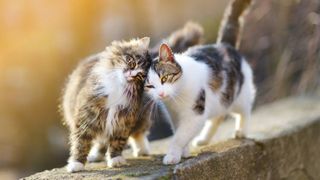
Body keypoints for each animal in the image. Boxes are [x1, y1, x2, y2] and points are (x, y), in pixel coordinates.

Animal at [63, 37, 153, 172]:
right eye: (131, 62)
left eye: (140, 76)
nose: (131, 74)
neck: (118, 87)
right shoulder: (87, 117)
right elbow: (81, 143)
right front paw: (76, 164)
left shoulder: (123, 120)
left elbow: (117, 142)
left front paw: (115, 160)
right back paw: (95, 156)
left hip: (142, 116)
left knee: (138, 133)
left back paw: (142, 150)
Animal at [145, 0, 255, 165]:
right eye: (150, 86)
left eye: (164, 78)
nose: (161, 94)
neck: (176, 99)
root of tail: (224, 45)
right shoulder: (174, 116)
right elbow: (179, 133)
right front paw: (183, 152)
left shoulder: (195, 114)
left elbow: (180, 136)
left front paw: (172, 155)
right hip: (219, 100)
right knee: (218, 116)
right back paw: (203, 139)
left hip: (238, 95)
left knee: (245, 110)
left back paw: (241, 131)